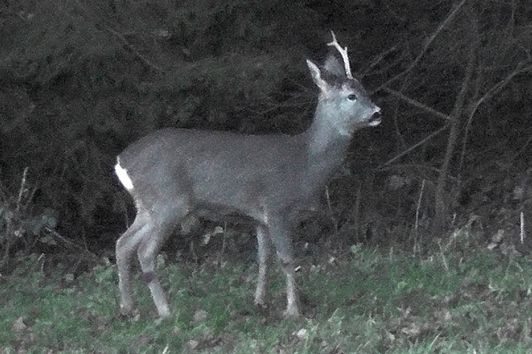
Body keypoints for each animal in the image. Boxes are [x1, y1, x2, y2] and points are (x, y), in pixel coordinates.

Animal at [115, 31, 382, 318]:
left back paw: (128, 307)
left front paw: (260, 301)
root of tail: (122, 161)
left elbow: (263, 259)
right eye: (351, 96)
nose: (378, 112)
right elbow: (287, 259)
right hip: (168, 201)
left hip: (147, 205)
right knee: (144, 251)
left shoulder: (259, 218)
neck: (306, 164)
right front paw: (293, 310)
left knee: (123, 244)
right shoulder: (277, 206)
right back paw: (165, 310)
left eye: (365, 90)